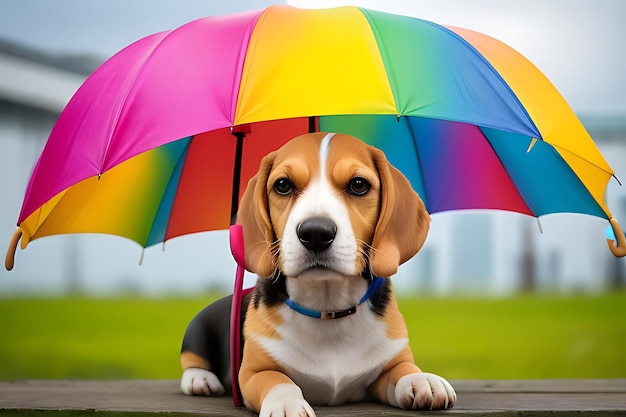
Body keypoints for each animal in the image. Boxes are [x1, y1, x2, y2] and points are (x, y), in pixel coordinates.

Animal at [178, 133, 456, 416]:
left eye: (359, 185)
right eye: (282, 185)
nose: (315, 233)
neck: (327, 307)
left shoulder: (388, 362)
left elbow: (403, 368)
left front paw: (422, 379)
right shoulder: (252, 373)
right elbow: (278, 380)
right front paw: (286, 403)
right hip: (197, 331)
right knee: (191, 359)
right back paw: (200, 380)